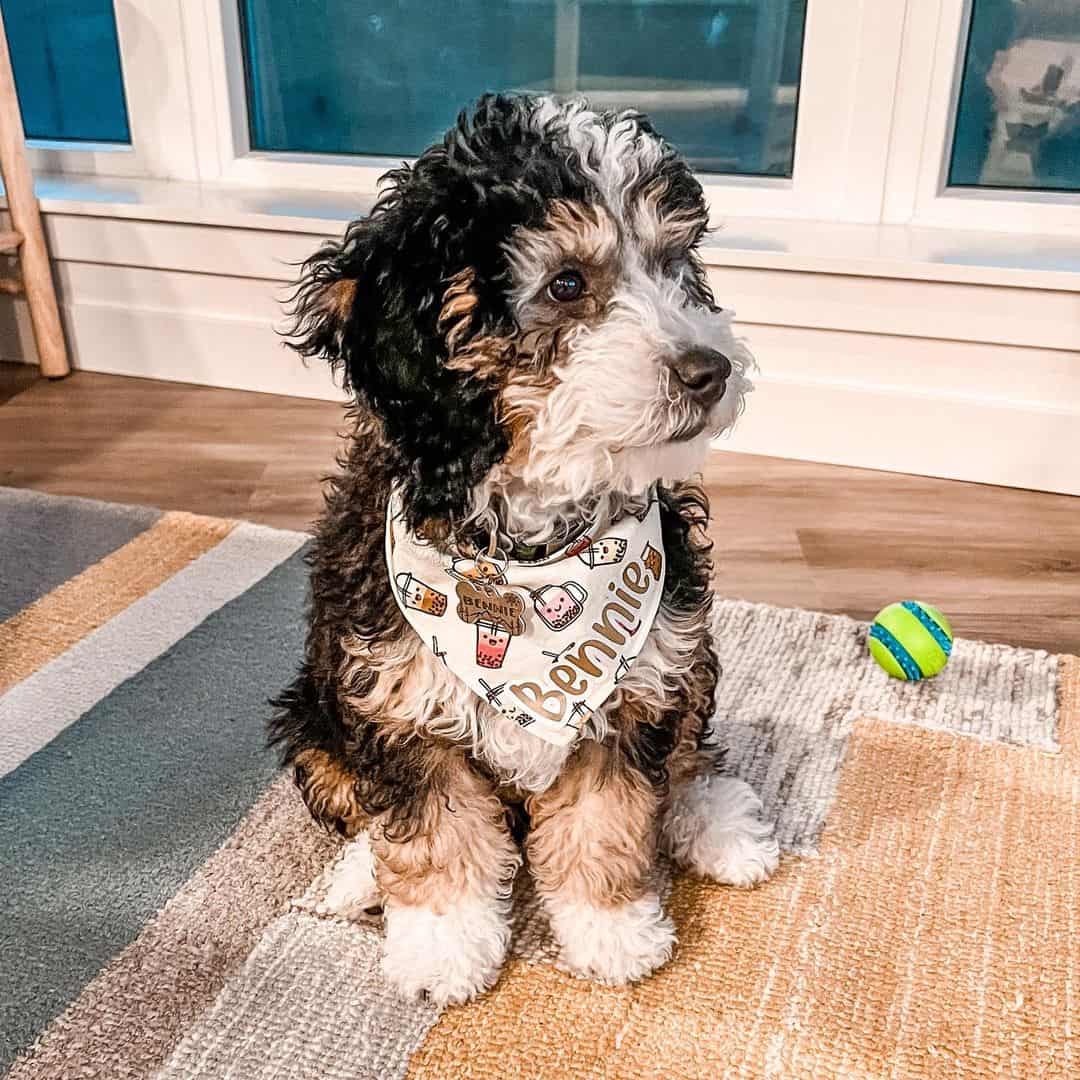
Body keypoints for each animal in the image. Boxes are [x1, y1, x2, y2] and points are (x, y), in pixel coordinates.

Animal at [268, 92, 777, 1002]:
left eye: (676, 264)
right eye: (567, 284)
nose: (709, 368)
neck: (528, 559)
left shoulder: (629, 694)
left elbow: (608, 820)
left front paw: (613, 930)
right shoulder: (397, 703)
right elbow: (430, 832)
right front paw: (441, 945)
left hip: (687, 645)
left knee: (688, 750)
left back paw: (719, 825)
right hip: (314, 716)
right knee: (351, 794)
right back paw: (358, 877)